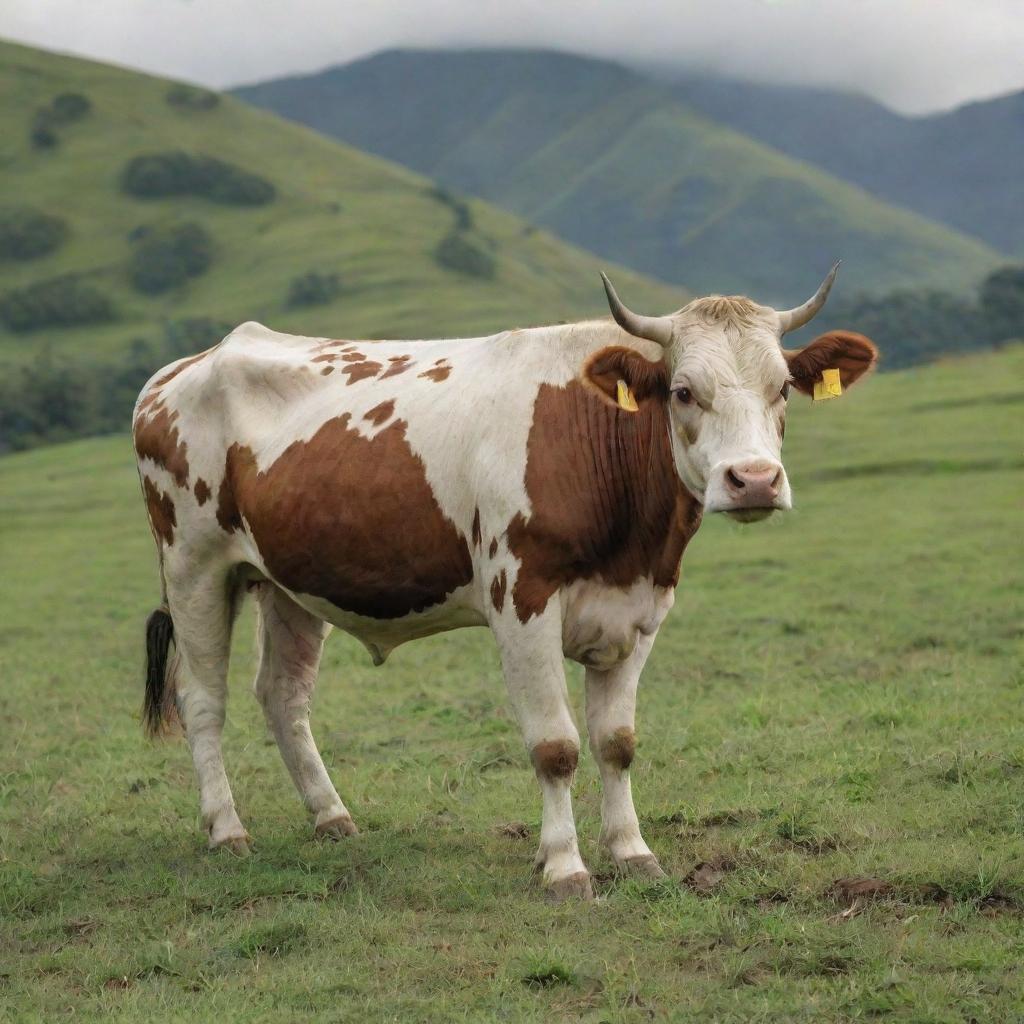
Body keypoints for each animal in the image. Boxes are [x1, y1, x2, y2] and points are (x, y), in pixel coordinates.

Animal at [132, 264, 876, 897]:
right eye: (684, 391)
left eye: (782, 388)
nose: (754, 480)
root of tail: (181, 369)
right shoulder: (522, 602)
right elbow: (555, 747)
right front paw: (567, 867)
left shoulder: (639, 610)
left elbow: (616, 743)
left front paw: (631, 852)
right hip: (194, 565)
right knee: (202, 700)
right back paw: (227, 830)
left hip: (291, 581)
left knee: (282, 695)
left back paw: (331, 816)